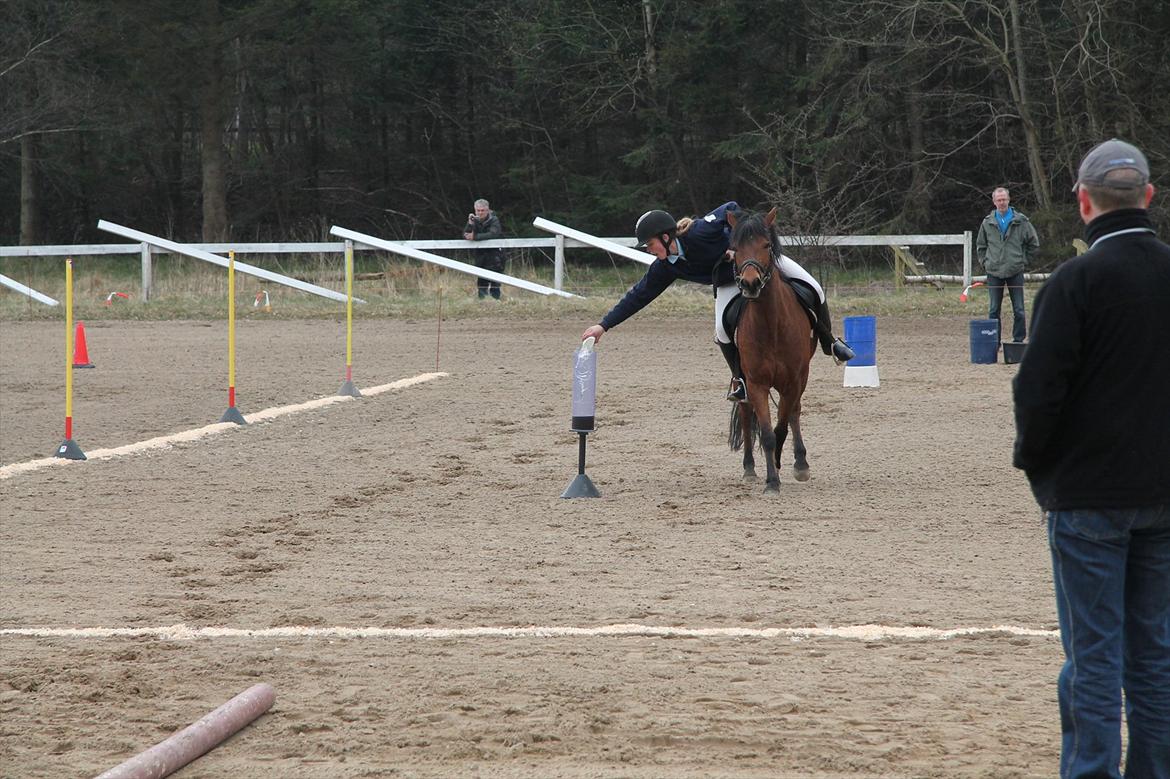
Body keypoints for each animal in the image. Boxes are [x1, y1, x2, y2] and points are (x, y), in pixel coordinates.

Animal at [725, 207, 816, 493]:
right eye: (734, 248)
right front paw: (771, 481)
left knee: (794, 412)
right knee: (746, 413)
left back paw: (801, 463)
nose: (750, 283)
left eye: (766, 245)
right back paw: (750, 468)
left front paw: (784, 465)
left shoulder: (793, 381)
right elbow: (766, 433)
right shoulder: (756, 383)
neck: (771, 323)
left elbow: (782, 426)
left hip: (800, 379)